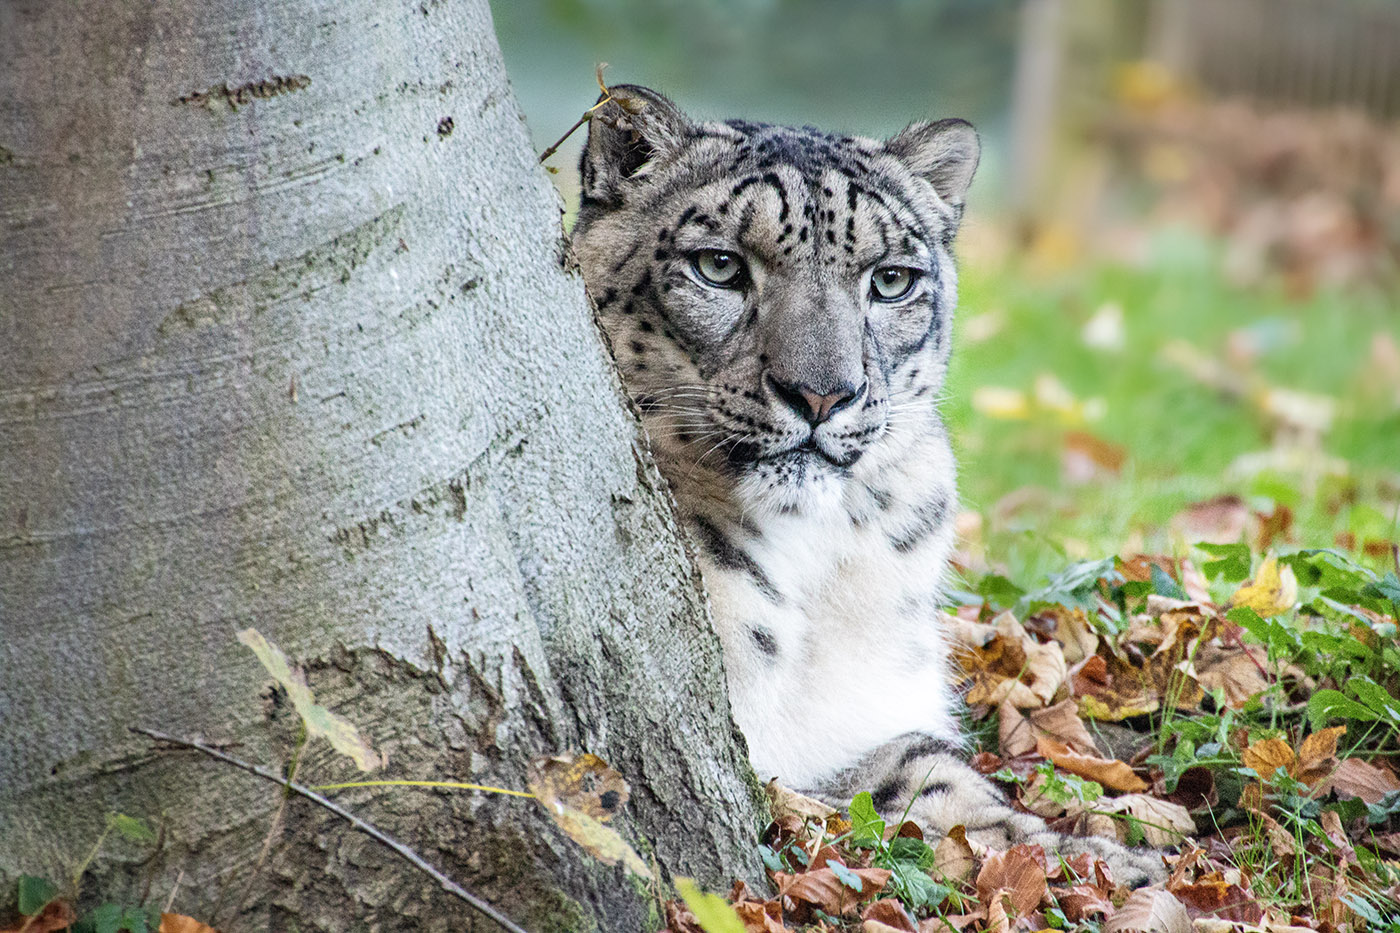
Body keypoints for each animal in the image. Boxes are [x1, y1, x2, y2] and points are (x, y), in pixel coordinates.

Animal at [568, 87, 1170, 885]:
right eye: (719, 266)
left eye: (890, 279)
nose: (822, 394)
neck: (816, 571)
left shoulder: (874, 710)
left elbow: (938, 777)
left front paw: (1101, 863)